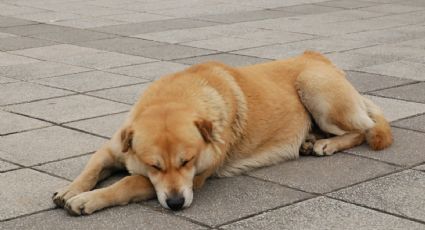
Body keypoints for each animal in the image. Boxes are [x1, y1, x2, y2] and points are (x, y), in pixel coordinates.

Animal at [52, 50, 390, 216]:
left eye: (187, 162)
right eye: (154, 165)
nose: (176, 204)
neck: (174, 97)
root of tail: (318, 57)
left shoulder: (196, 178)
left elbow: (129, 182)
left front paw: (88, 200)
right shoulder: (114, 147)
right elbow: (92, 167)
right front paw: (70, 190)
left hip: (316, 90)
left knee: (365, 129)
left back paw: (326, 145)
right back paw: (311, 140)